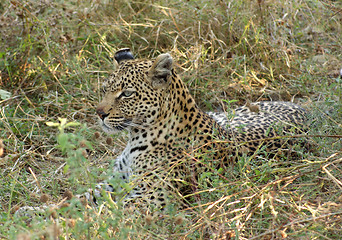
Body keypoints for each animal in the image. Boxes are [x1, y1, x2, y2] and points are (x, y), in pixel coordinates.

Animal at [91, 47, 308, 211]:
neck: (135, 136)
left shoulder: (153, 197)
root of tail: (308, 110)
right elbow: (88, 195)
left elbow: (111, 213)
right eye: (105, 89)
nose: (99, 113)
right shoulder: (113, 181)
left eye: (127, 94)